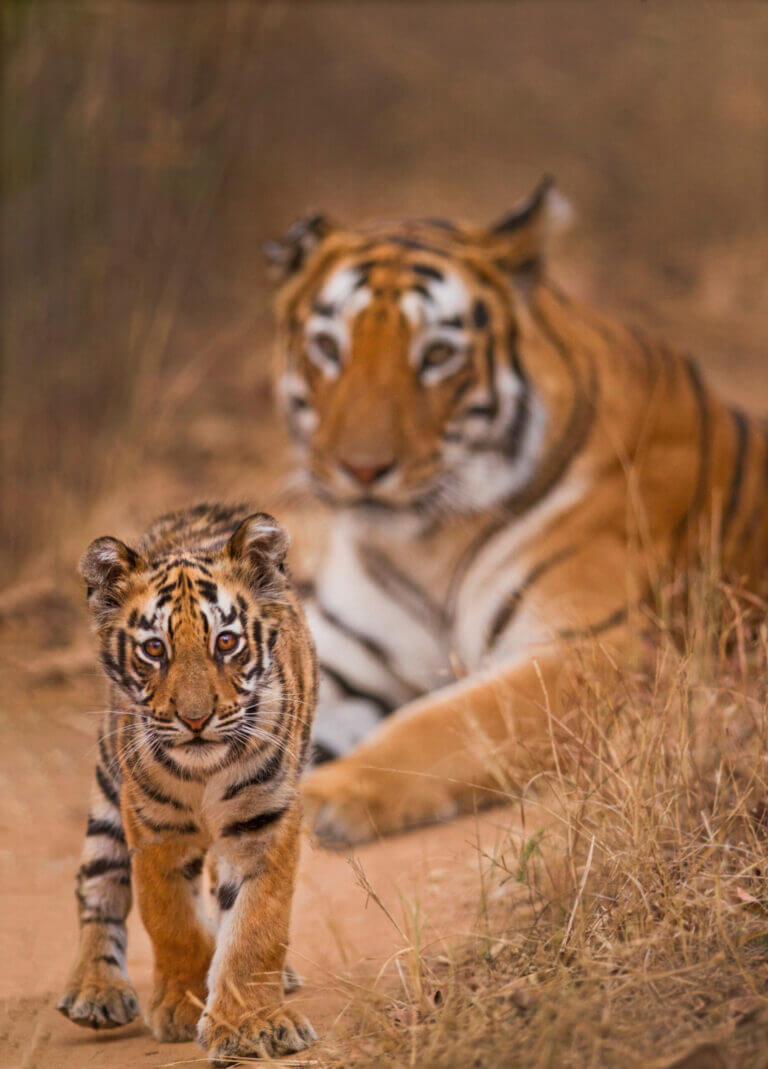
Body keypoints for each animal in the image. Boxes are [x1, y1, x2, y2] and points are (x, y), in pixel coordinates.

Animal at [57, 503, 318, 1064]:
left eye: (226, 642)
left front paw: (251, 1023)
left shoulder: (265, 820)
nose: (195, 719)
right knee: (98, 882)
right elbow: (170, 918)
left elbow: (258, 924)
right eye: (155, 649)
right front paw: (181, 1005)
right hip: (109, 785)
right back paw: (96, 990)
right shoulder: (154, 826)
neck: (204, 772)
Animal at [265, 177, 768, 846]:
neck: (425, 544)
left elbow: (445, 723)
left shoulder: (595, 652)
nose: (362, 469)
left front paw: (329, 795)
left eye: (437, 355)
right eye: (327, 347)